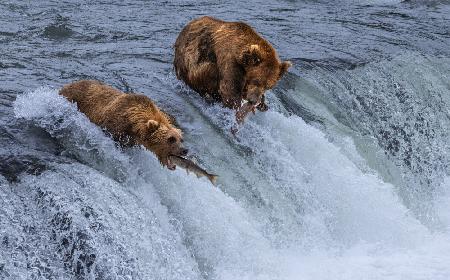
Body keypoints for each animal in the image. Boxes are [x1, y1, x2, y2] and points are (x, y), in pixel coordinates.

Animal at [59, 80, 188, 170]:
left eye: (181, 139)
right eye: (171, 139)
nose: (184, 150)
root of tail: (65, 86)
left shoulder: (131, 139)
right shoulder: (114, 127)